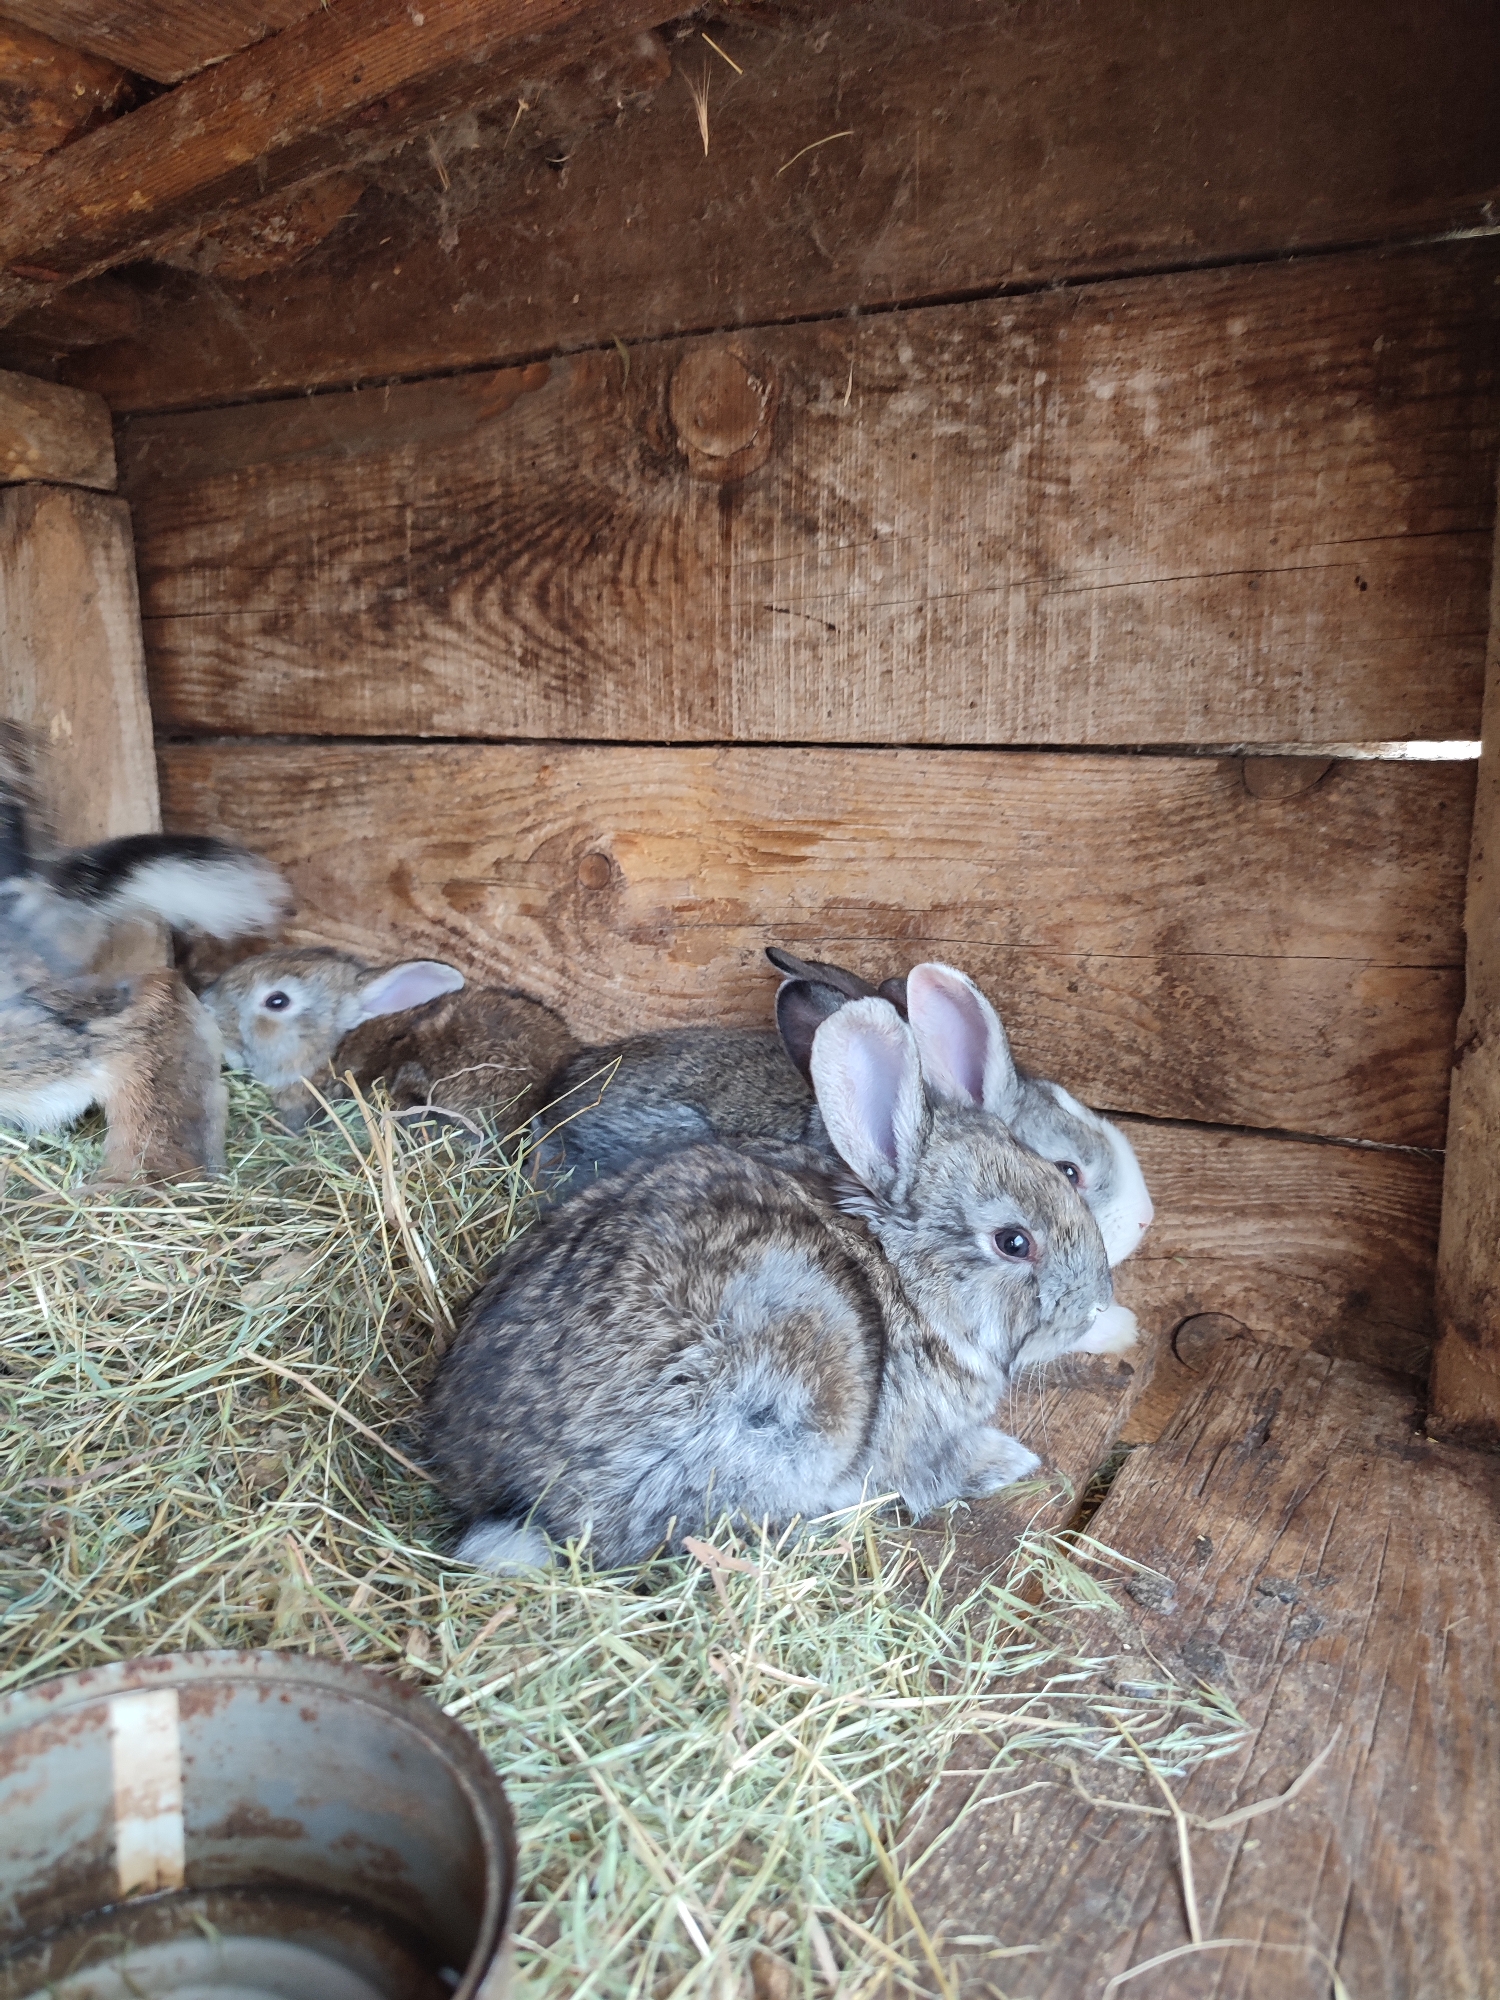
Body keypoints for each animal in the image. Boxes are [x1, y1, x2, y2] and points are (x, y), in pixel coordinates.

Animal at [425, 962, 1131, 1573]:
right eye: (1013, 1242)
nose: (1096, 1301)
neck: (909, 1276)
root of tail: (513, 1500)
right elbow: (932, 1474)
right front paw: (1010, 1460)